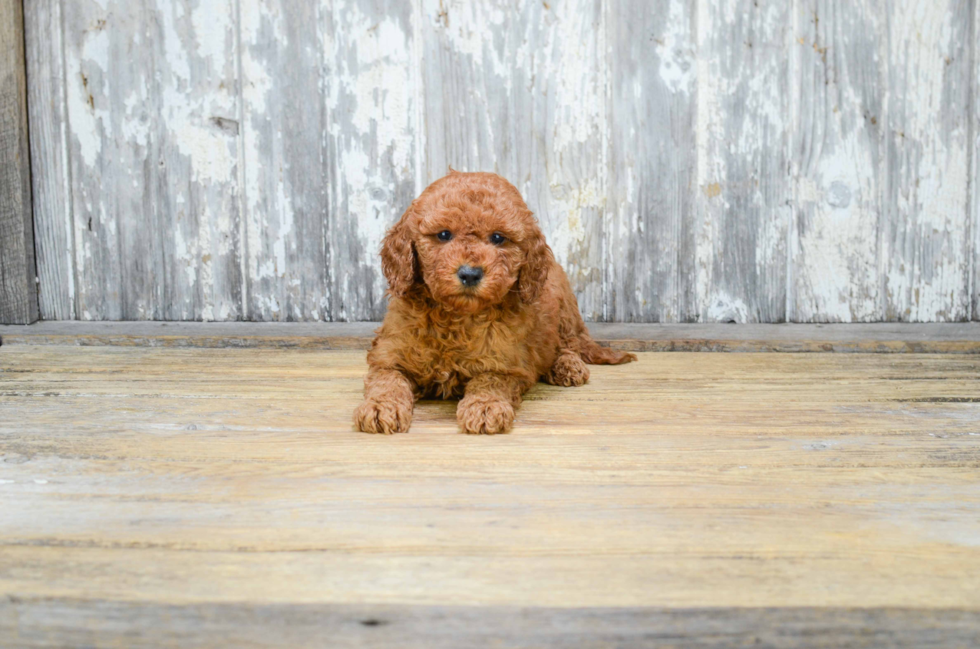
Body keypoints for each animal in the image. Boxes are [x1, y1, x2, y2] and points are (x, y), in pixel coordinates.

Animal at [352, 171, 636, 436]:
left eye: (498, 238)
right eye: (443, 235)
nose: (470, 273)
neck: (456, 319)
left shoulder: (507, 364)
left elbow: (490, 381)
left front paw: (485, 407)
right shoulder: (389, 354)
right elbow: (387, 380)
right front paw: (380, 407)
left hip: (565, 306)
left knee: (569, 344)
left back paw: (567, 366)